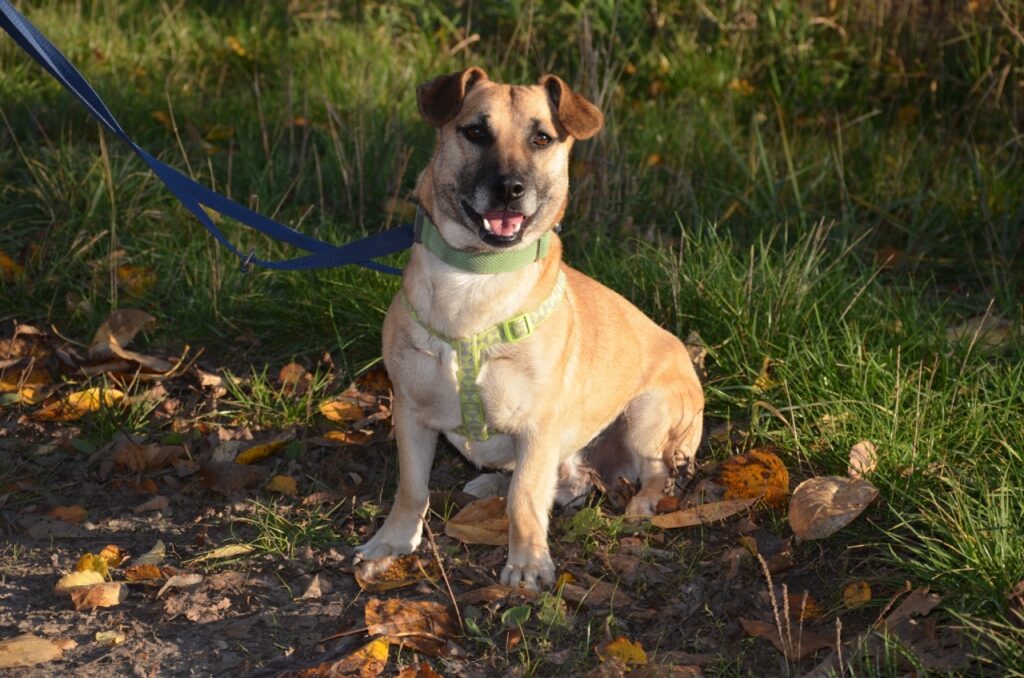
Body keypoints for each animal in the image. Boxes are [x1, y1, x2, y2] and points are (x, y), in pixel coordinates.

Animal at [354, 66, 704, 594]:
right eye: (476, 131)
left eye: (542, 138)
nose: (509, 188)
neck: (476, 278)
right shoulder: (410, 411)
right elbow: (412, 488)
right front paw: (392, 542)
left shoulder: (537, 426)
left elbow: (524, 498)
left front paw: (527, 562)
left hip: (648, 415)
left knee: (658, 473)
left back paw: (643, 502)